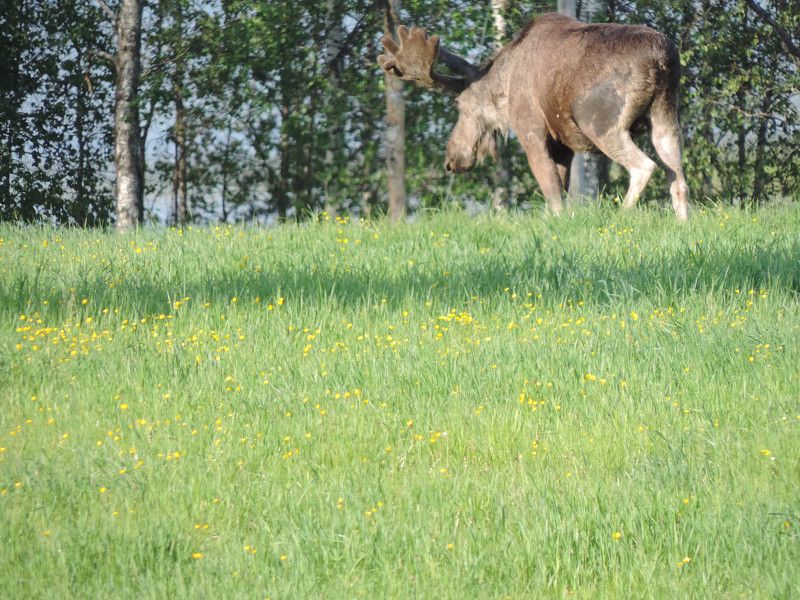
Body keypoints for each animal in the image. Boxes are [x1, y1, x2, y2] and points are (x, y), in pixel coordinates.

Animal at [378, 13, 690, 221]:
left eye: (460, 105)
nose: (451, 159)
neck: (503, 85)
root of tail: (661, 59)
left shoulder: (530, 130)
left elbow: (551, 191)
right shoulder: (563, 145)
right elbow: (561, 186)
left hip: (601, 121)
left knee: (645, 166)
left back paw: (621, 216)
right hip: (665, 116)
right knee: (678, 177)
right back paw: (682, 223)